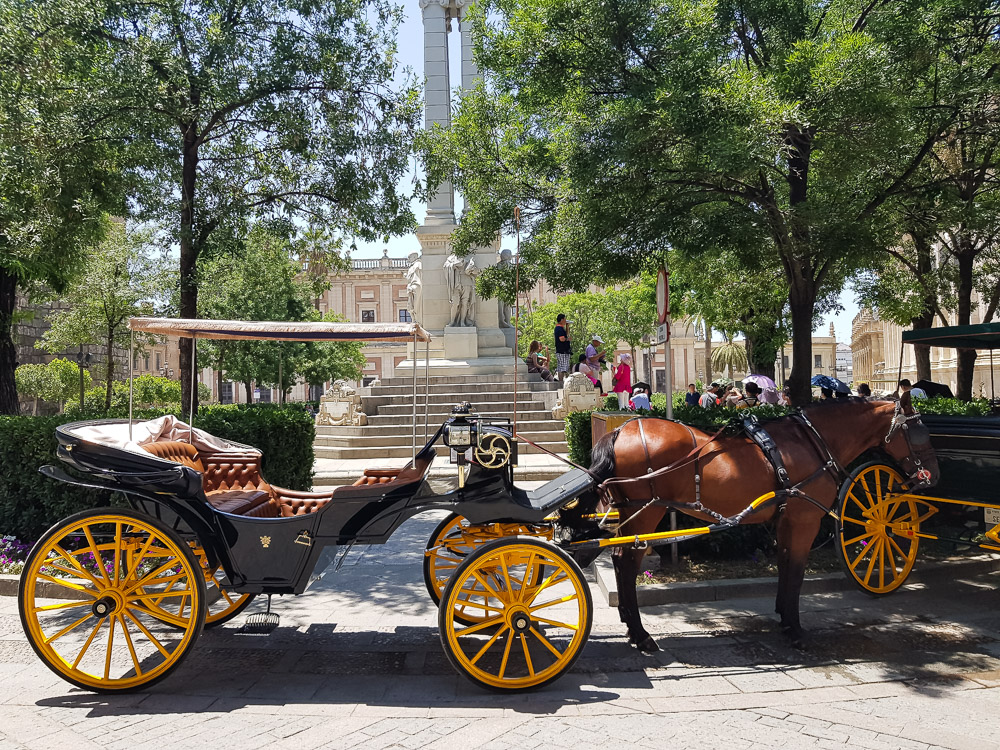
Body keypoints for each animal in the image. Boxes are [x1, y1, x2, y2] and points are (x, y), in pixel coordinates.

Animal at [584, 400, 936, 652]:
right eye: (918, 431)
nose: (932, 474)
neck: (813, 442)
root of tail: (620, 431)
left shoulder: (786, 520)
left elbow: (784, 567)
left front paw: (784, 617)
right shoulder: (805, 520)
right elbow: (796, 572)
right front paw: (794, 629)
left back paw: (633, 628)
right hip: (646, 512)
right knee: (626, 563)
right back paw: (640, 633)